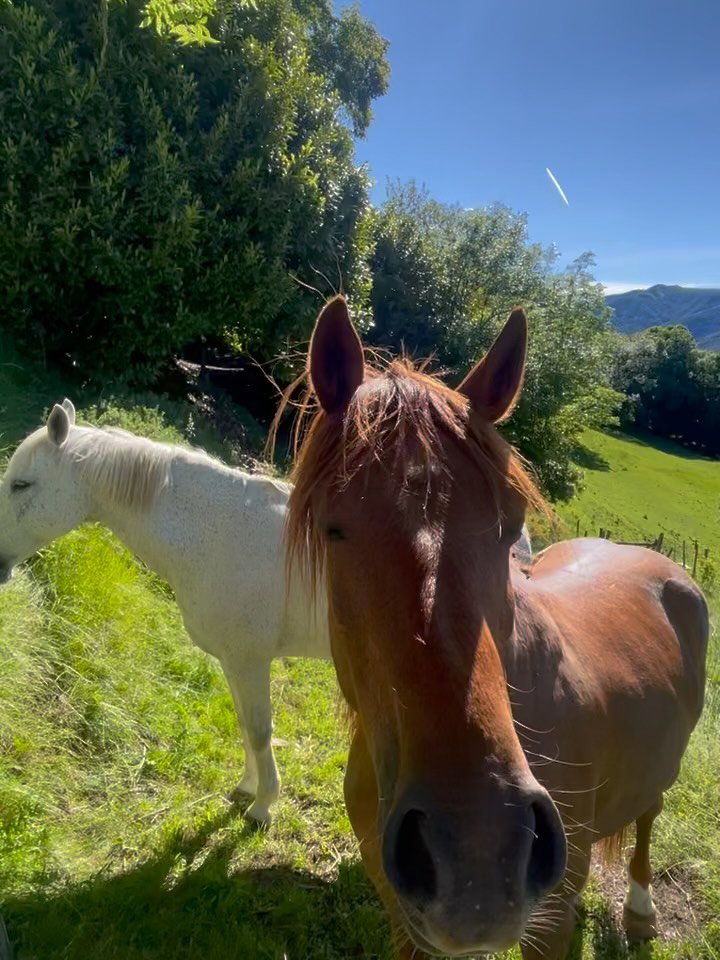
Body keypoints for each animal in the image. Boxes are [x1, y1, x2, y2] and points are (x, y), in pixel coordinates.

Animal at [0, 400, 331, 825]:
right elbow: (244, 723)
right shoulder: (233, 661)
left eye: (21, 485)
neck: (223, 532)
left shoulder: (251, 659)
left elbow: (260, 731)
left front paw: (262, 806)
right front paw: (246, 787)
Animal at [284, 295, 709, 959]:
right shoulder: (404, 919)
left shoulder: (549, 925)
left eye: (511, 524)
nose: (479, 854)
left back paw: (640, 911)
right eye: (334, 529)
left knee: (649, 815)